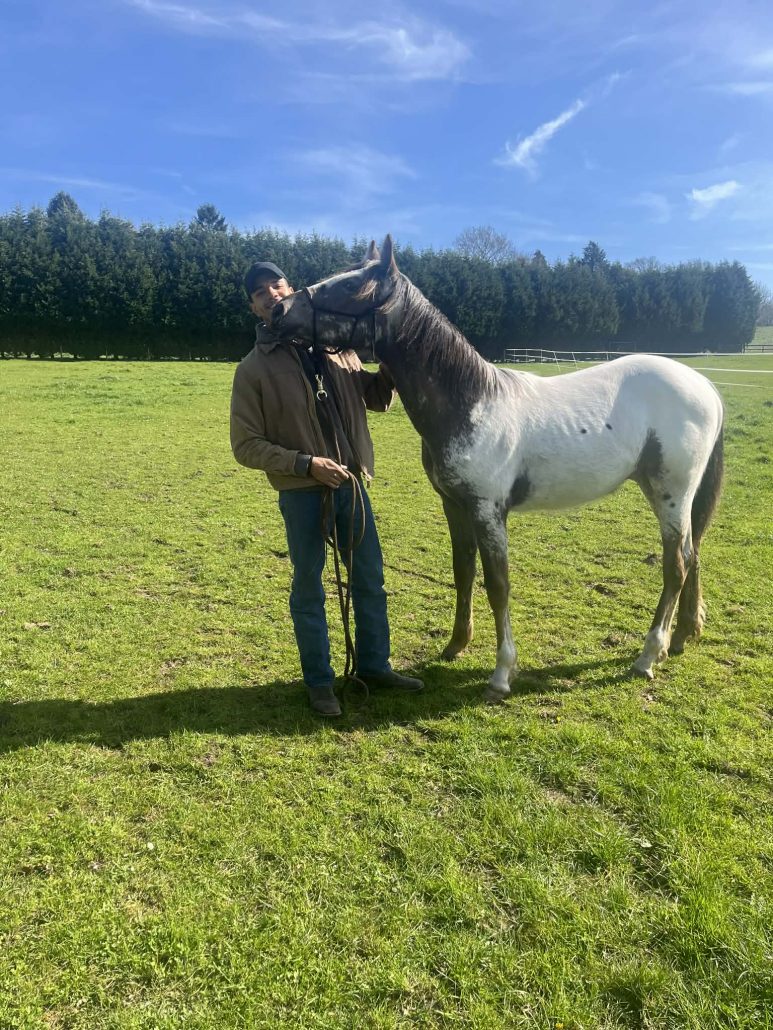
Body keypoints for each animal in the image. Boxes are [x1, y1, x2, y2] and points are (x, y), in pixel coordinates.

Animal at [271, 237, 725, 701]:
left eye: (351, 286)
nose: (279, 311)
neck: (471, 403)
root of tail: (703, 384)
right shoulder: (455, 506)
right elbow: (463, 572)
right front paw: (456, 645)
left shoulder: (488, 512)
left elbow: (498, 584)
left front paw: (502, 673)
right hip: (668, 494)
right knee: (692, 552)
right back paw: (682, 637)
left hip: (671, 492)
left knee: (676, 564)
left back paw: (648, 656)